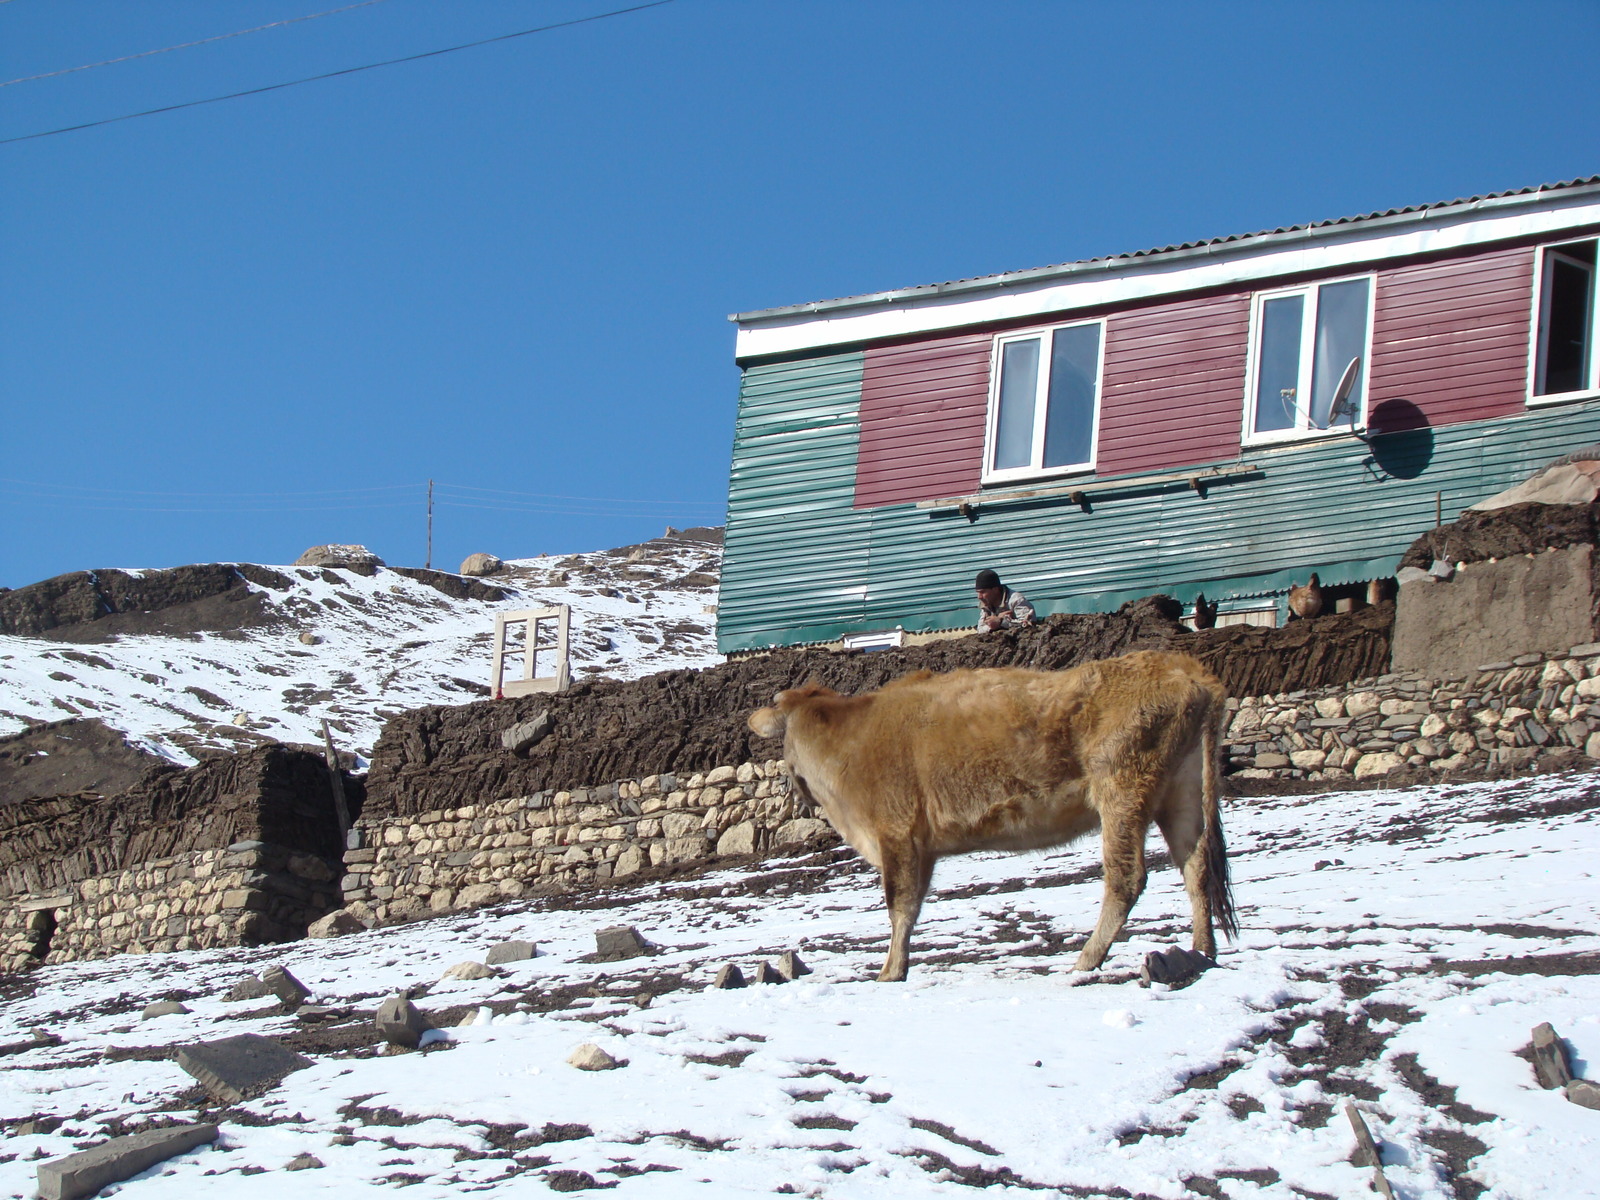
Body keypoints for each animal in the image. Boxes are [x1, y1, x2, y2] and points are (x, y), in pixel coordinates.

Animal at [745, 652, 1235, 979]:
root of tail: (1184, 666)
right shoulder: (922, 846)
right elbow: (914, 907)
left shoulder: (897, 832)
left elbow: (899, 905)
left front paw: (889, 971)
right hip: (1181, 795)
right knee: (1196, 868)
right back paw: (1202, 951)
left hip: (1122, 789)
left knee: (1127, 878)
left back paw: (1085, 959)